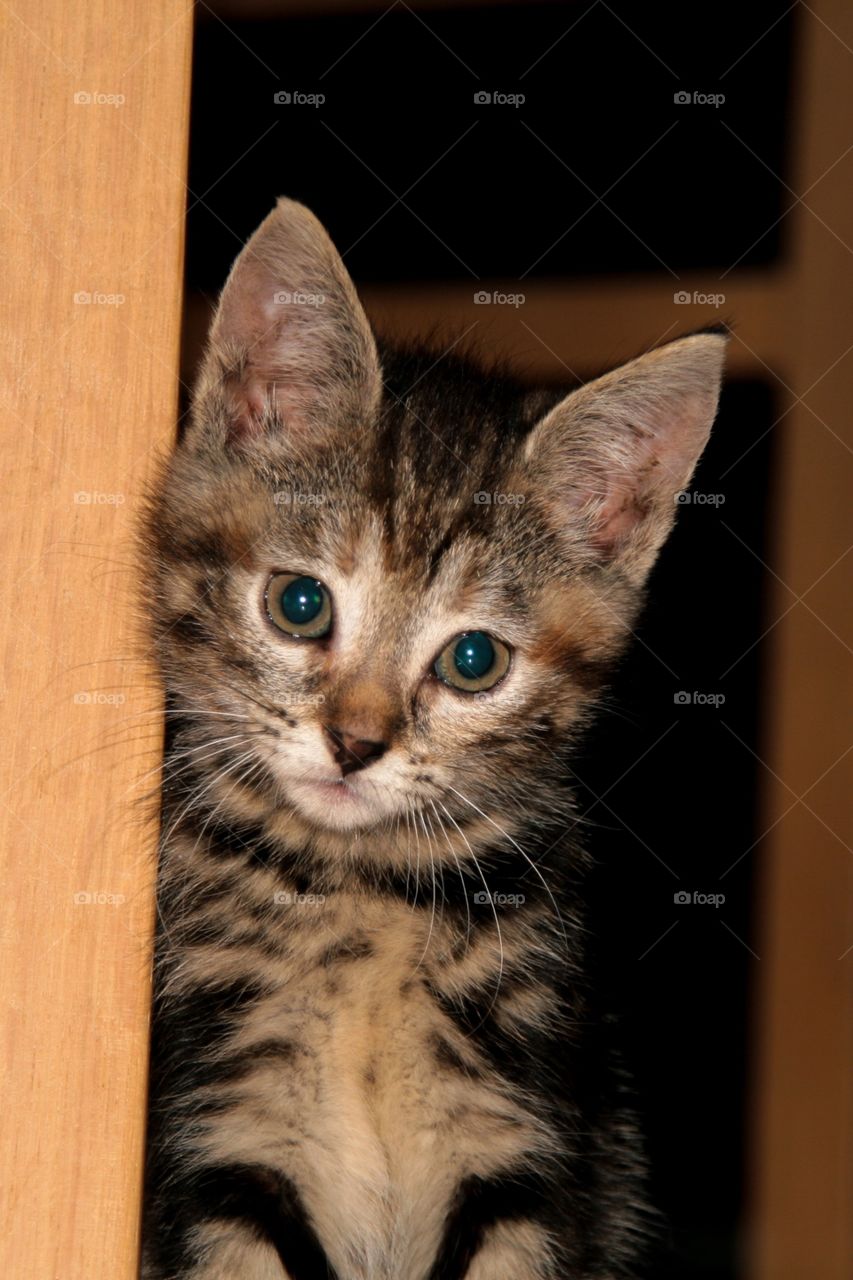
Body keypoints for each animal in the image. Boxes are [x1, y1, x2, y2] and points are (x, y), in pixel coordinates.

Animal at [139, 199, 722, 1280]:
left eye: (472, 661)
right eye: (298, 604)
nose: (354, 744)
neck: (366, 891)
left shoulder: (520, 1149)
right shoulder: (225, 1131)